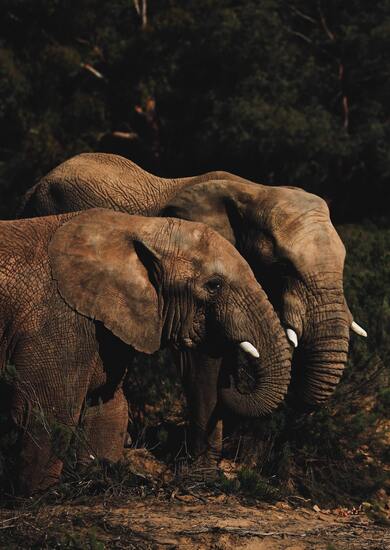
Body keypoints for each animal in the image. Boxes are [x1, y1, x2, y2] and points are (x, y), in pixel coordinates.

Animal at [0, 209, 290, 494]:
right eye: (214, 285)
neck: (137, 227)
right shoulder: (56, 321)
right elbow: (46, 412)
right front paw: (35, 496)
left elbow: (109, 408)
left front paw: (96, 482)